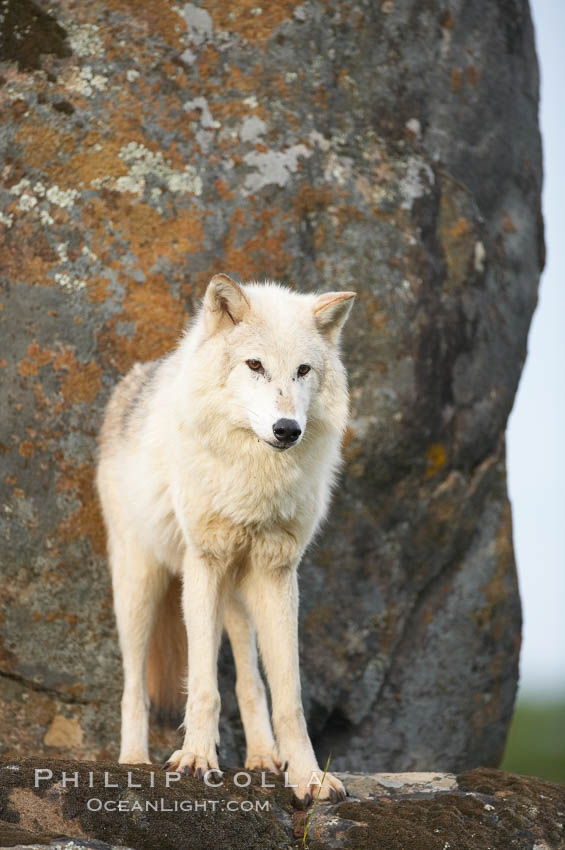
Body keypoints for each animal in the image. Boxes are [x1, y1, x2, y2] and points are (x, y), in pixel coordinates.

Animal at [96, 274, 355, 804]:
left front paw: (308, 777)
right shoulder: (205, 562)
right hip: (140, 587)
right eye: (255, 365)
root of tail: (135, 378)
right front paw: (196, 759)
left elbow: (287, 697)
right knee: (134, 683)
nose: (286, 429)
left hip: (239, 594)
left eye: (303, 371)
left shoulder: (277, 572)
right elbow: (202, 686)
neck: (256, 478)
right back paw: (133, 760)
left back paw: (262, 758)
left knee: (250, 679)